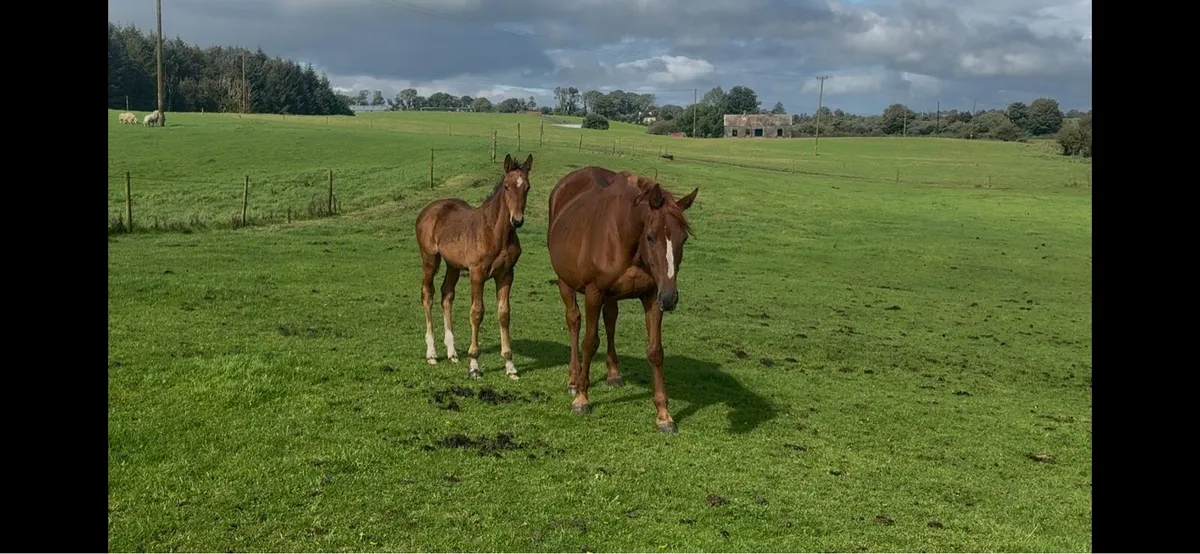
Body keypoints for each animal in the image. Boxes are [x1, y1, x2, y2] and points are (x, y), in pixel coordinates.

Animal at [414, 153, 533, 380]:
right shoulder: (477, 274)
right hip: (430, 259)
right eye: (506, 186)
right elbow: (477, 313)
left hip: (452, 265)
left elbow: (504, 314)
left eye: (527, 187)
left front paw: (510, 366)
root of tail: (429, 209)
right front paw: (474, 365)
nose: (517, 220)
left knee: (446, 295)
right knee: (428, 293)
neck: (496, 234)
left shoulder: (506, 275)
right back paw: (431, 353)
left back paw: (452, 353)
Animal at [546, 166, 699, 433]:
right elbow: (589, 342)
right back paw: (574, 379)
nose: (670, 298)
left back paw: (613, 374)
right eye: (651, 237)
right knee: (574, 321)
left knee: (610, 320)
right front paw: (582, 398)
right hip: (566, 283)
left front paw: (664, 414)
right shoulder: (594, 293)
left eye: (684, 239)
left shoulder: (652, 296)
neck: (624, 236)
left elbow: (655, 351)